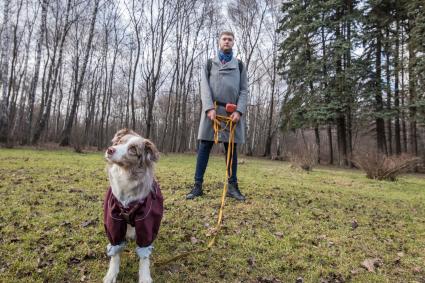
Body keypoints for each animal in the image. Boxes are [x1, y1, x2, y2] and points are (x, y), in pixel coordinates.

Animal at [102, 130, 162, 283]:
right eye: (119, 142)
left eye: (133, 150)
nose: (110, 149)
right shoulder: (113, 218)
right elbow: (115, 251)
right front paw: (111, 274)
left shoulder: (147, 220)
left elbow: (144, 254)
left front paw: (145, 277)